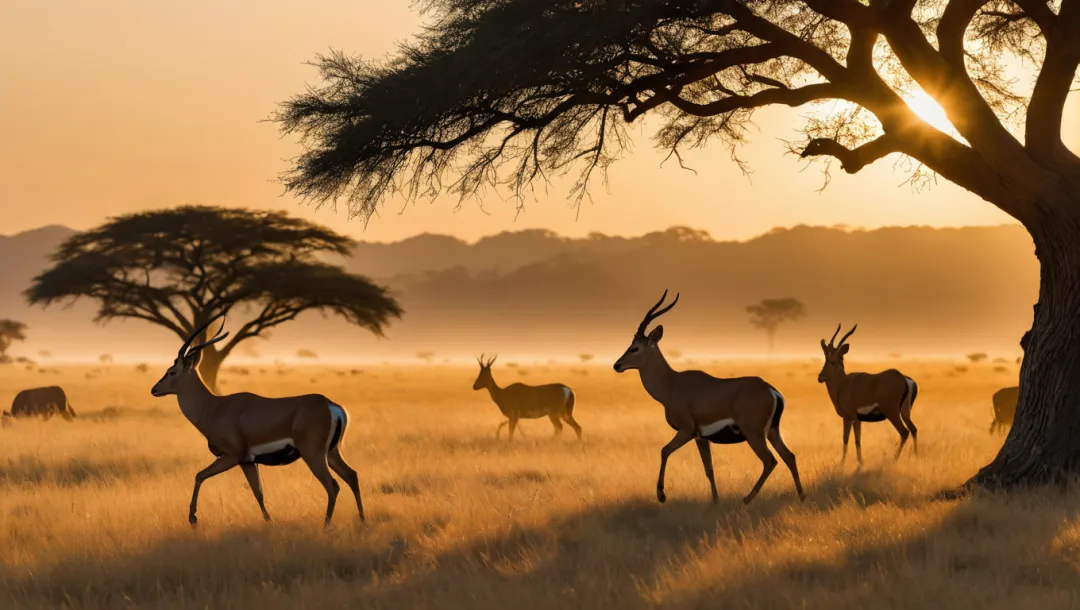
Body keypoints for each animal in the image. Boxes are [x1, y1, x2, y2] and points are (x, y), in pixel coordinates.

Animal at [150, 308, 365, 522]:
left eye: (172, 371)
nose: (154, 389)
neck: (214, 408)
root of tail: (331, 405)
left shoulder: (233, 457)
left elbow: (200, 476)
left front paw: (193, 518)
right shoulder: (248, 461)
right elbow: (258, 493)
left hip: (314, 455)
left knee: (333, 485)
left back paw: (326, 525)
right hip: (332, 452)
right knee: (352, 475)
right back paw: (362, 520)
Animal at [613, 289, 807, 505]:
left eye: (635, 348)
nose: (617, 365)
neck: (671, 385)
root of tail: (770, 390)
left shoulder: (686, 431)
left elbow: (664, 450)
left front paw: (661, 495)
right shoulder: (700, 438)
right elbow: (709, 469)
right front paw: (715, 501)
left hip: (754, 434)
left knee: (770, 460)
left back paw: (746, 499)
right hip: (772, 431)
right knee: (789, 456)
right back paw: (801, 497)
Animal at [816, 323, 920, 462]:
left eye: (836, 360)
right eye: (826, 358)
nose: (820, 377)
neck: (843, 385)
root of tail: (904, 378)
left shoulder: (850, 417)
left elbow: (848, 440)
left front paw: (851, 462)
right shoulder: (857, 419)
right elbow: (855, 439)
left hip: (891, 412)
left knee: (904, 432)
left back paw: (894, 459)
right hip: (905, 412)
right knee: (913, 429)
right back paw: (916, 456)